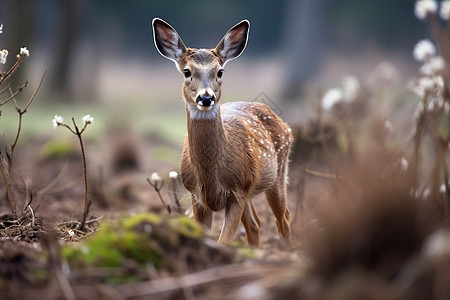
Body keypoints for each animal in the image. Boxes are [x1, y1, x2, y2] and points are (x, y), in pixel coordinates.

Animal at [151, 17, 292, 246]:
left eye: (220, 72)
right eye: (187, 72)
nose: (206, 97)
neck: (210, 177)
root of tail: (286, 125)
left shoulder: (238, 191)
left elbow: (223, 240)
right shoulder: (196, 195)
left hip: (277, 174)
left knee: (284, 219)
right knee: (255, 224)